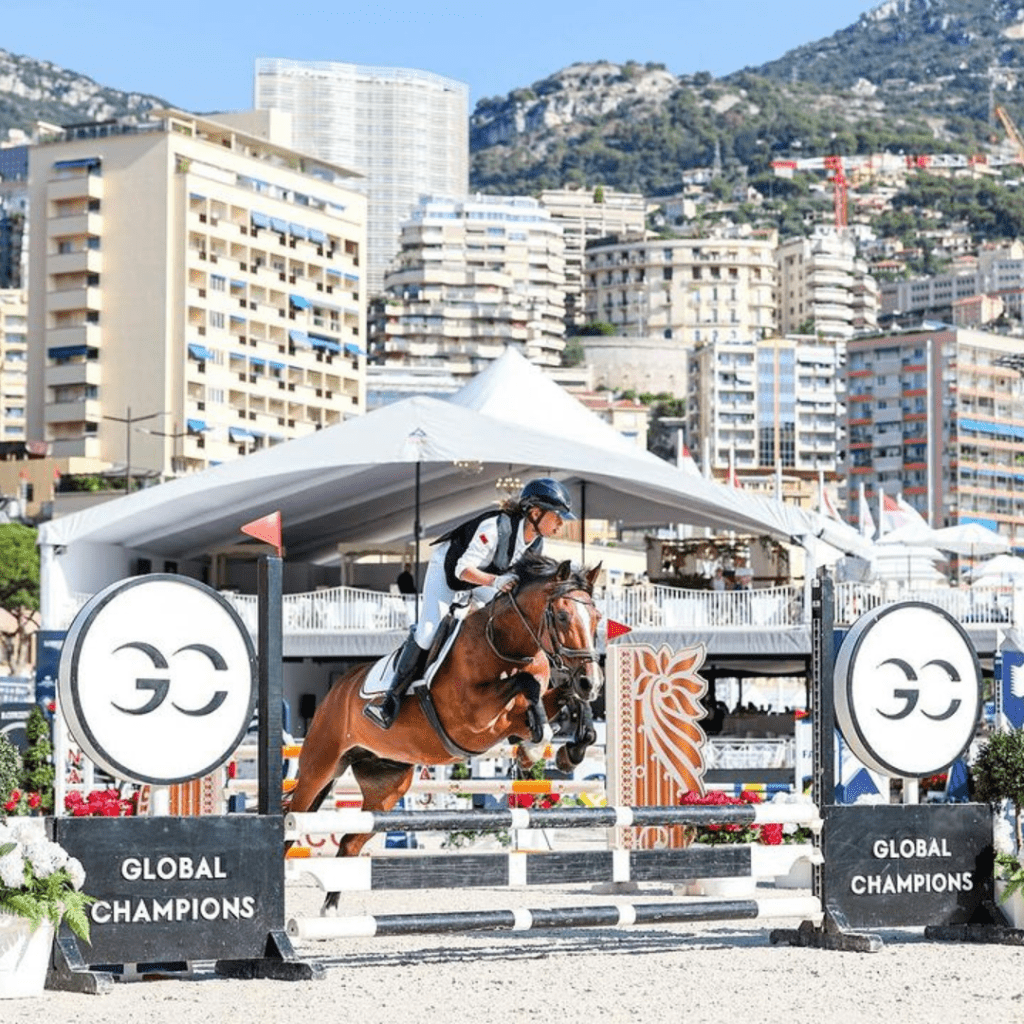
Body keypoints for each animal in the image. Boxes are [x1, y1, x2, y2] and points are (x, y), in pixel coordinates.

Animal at [287, 552, 603, 911]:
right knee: (292, 822)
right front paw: (533, 748)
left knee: (350, 842)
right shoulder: (473, 718)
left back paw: (330, 908)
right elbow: (528, 685)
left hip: (386, 788)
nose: (592, 682)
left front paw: (567, 749)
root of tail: (336, 690)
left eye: (597, 618)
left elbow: (561, 700)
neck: (504, 642)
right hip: (319, 767)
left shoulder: (511, 717)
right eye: (562, 616)